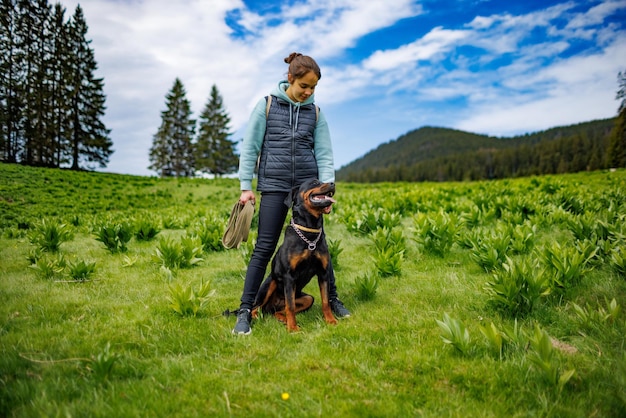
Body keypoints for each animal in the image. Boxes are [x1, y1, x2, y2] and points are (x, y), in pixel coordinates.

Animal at [249, 178, 336, 332]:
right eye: (314, 182)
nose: (333, 183)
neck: (310, 230)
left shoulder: (323, 273)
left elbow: (326, 301)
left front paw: (330, 320)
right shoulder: (289, 276)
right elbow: (290, 306)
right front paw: (293, 328)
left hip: (307, 298)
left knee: (278, 310)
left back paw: (281, 318)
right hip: (270, 283)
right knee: (256, 307)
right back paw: (257, 317)